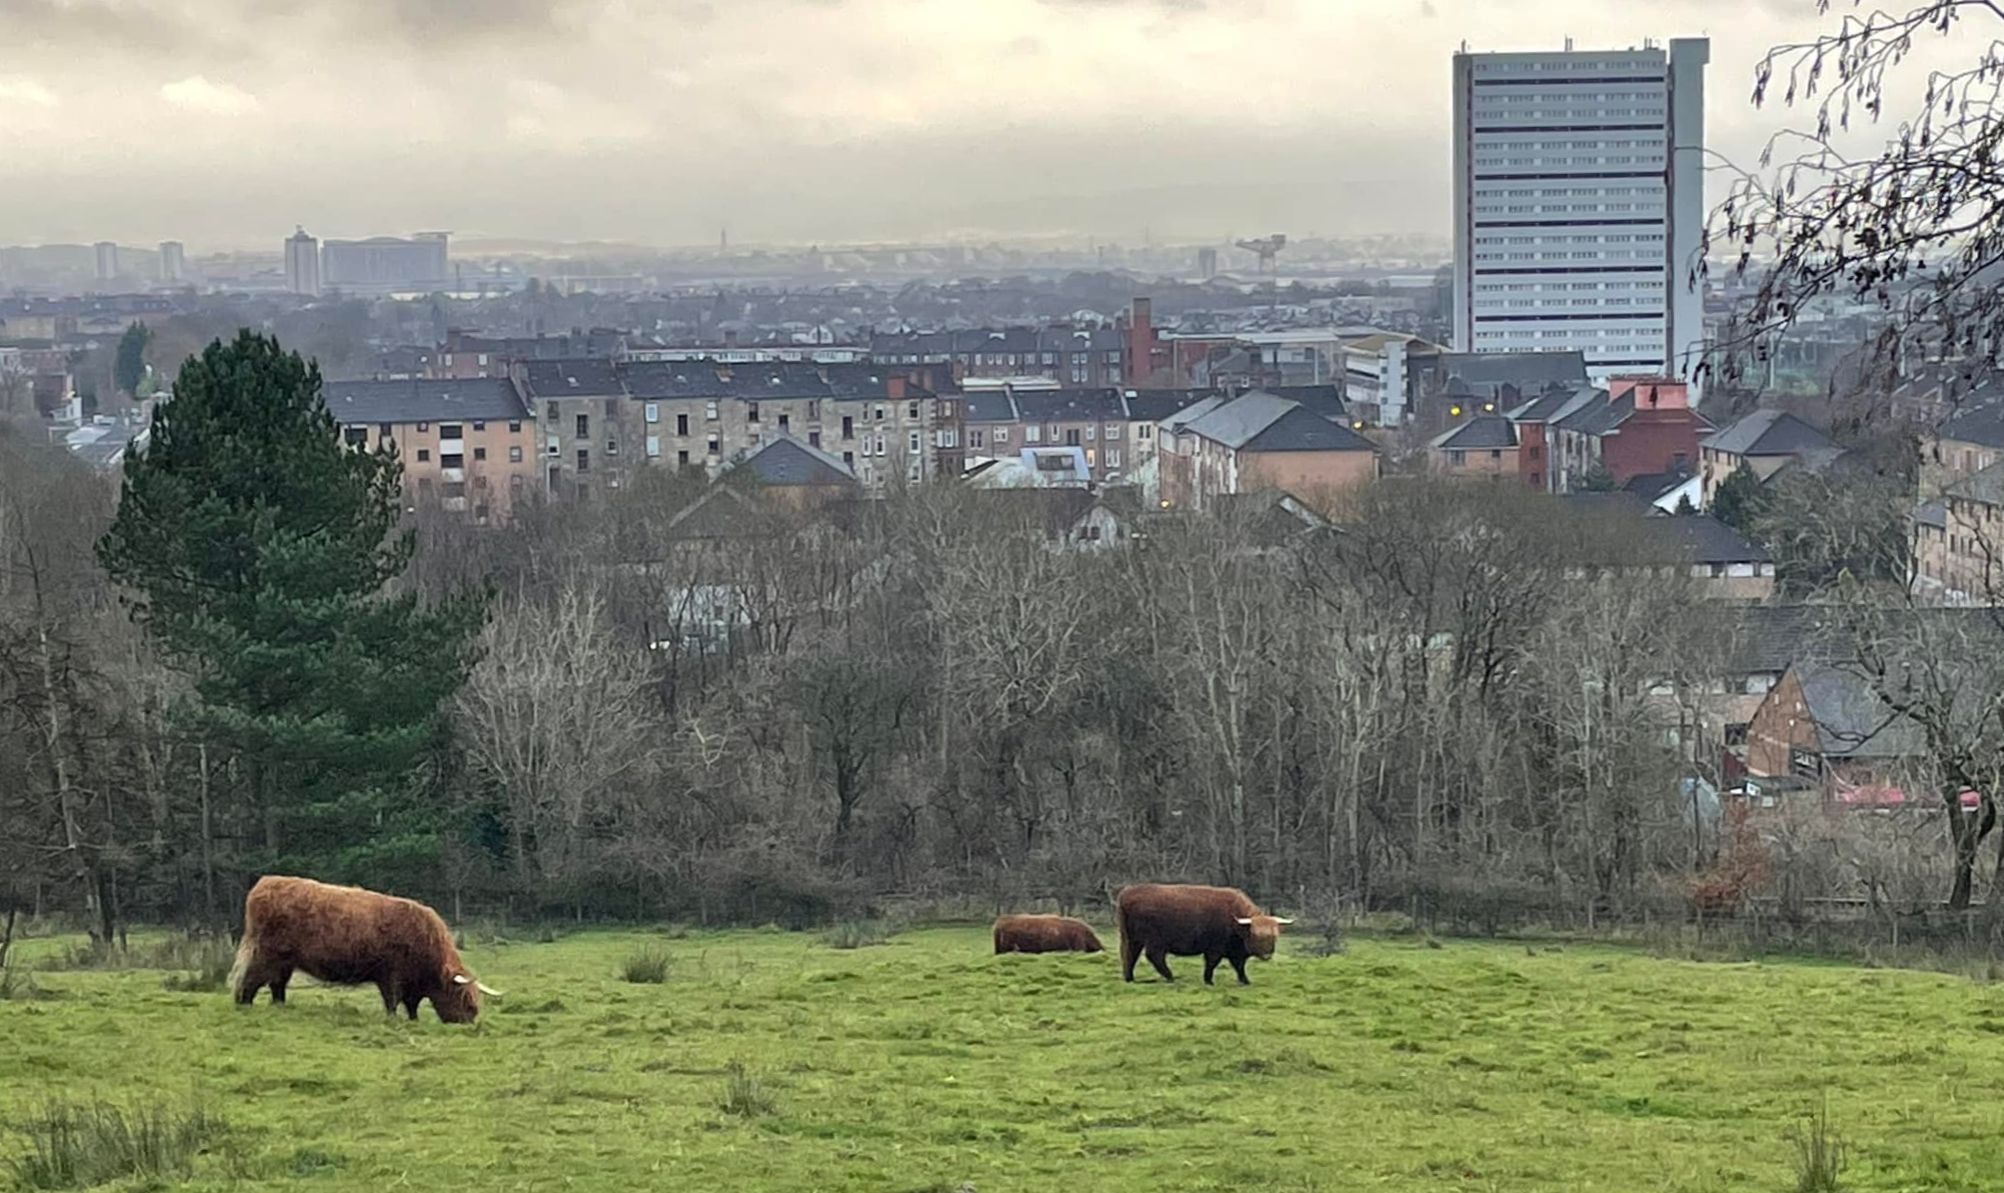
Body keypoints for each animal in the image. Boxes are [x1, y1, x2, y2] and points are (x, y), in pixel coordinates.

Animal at [229, 878, 498, 1026]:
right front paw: (393, 1020)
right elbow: (393, 1000)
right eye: (465, 1000)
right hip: (267, 954)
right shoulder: (392, 974)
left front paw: (413, 1020)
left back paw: (280, 1007)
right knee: (251, 978)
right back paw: (244, 1004)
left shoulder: (411, 982)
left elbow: (412, 1004)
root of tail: (264, 884)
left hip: (285, 962)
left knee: (277, 985)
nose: (470, 1024)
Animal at [1114, 882, 1298, 986]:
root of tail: (1127, 892)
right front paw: (1208, 980)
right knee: (1154, 956)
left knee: (1130, 955)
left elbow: (1239, 966)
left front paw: (1244, 981)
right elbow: (1212, 964)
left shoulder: (1236, 952)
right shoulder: (1214, 948)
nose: (1267, 955)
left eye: (1274, 936)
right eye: (1255, 935)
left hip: (1133, 939)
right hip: (1155, 940)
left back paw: (1130, 978)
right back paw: (1170, 977)